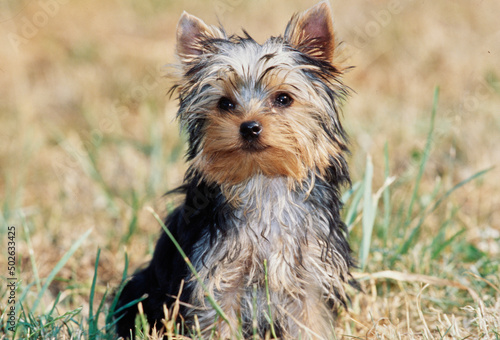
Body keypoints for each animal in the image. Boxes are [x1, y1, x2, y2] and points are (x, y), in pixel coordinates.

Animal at [117, 1, 358, 338]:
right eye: (225, 104)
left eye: (283, 98)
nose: (249, 127)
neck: (262, 182)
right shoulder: (217, 278)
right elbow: (219, 321)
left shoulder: (309, 276)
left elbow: (310, 323)